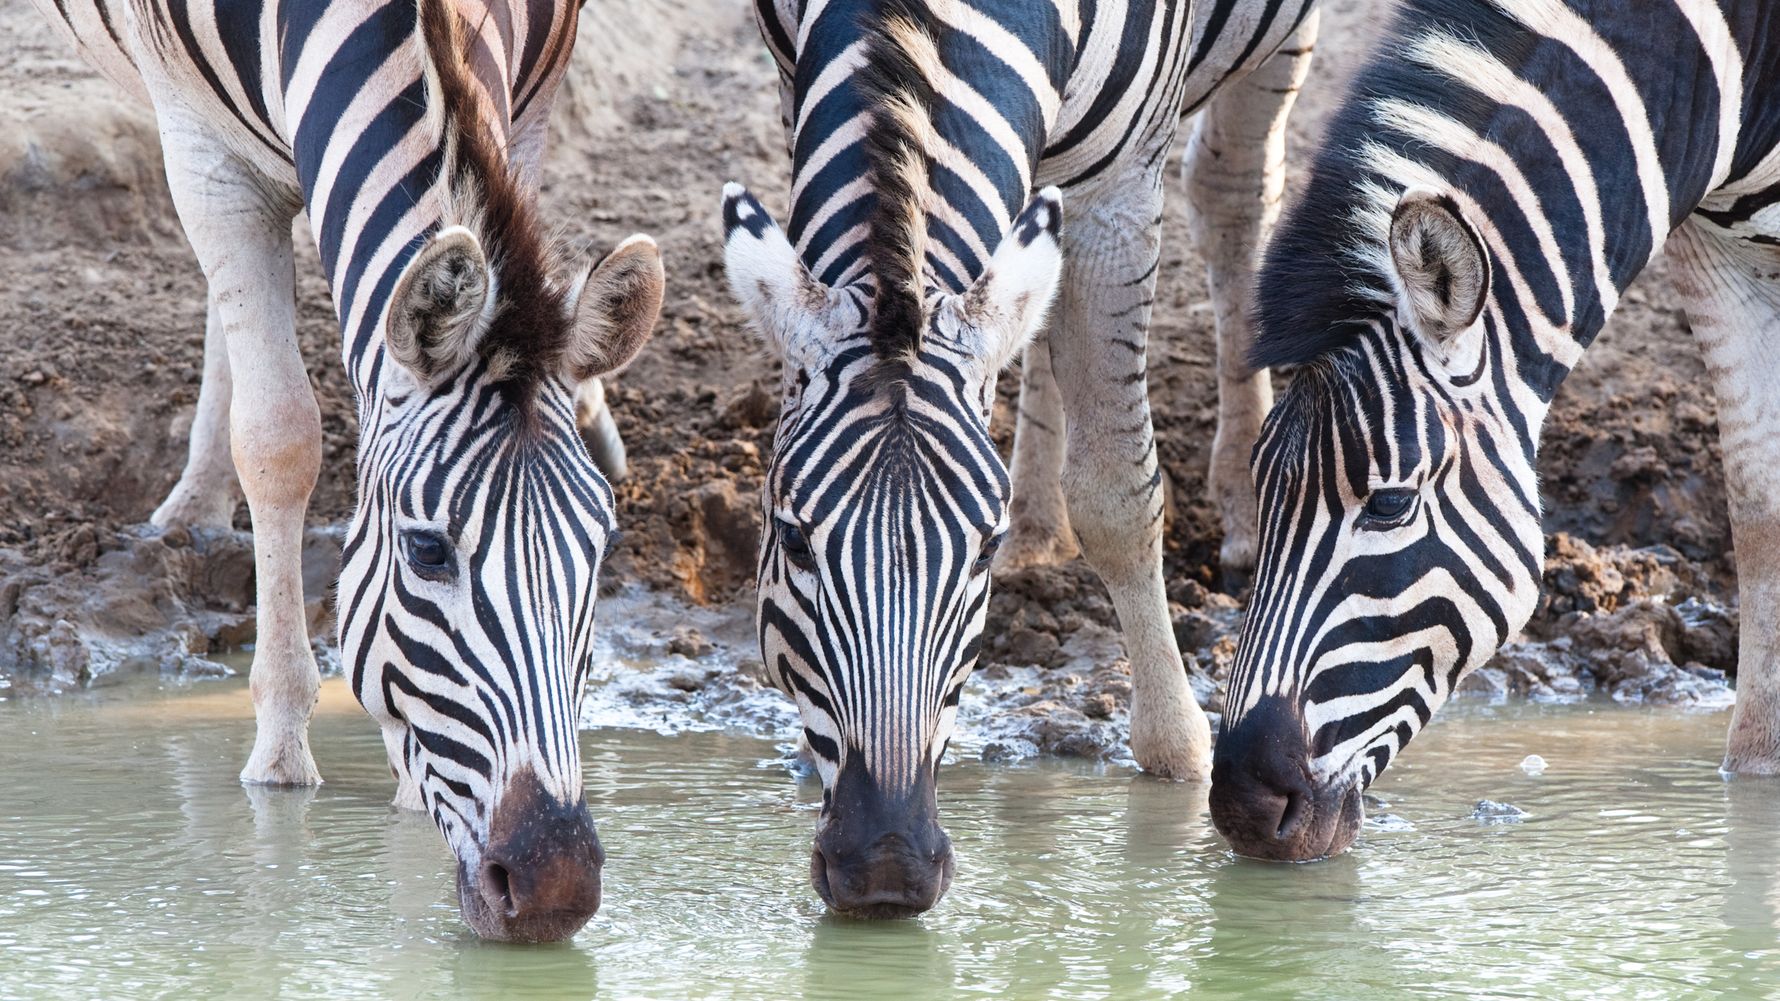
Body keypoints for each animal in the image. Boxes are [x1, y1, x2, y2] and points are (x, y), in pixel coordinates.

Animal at [30, 0, 666, 940]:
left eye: (607, 550)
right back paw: (197, 500)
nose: (555, 887)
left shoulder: (535, 99)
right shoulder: (204, 153)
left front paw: (405, 781)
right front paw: (281, 746)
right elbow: (279, 435)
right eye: (428, 551)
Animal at [722, 0, 1319, 915]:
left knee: (1233, 193)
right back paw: (1040, 515)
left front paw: (1176, 744)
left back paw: (1244, 500)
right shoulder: (795, 78)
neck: (914, 26)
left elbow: (1117, 493)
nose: (887, 868)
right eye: (790, 541)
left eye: (979, 549)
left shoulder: (1120, 189)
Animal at [1210, 0, 1780, 862]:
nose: (1244, 803)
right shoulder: (1718, 260)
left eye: (1389, 503)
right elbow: (1759, 511)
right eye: (1260, 489)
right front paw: (1757, 779)